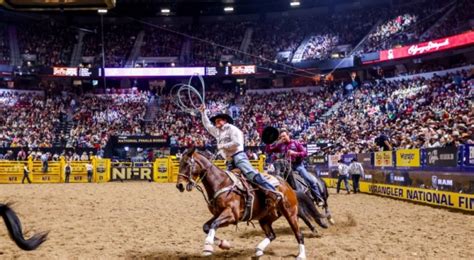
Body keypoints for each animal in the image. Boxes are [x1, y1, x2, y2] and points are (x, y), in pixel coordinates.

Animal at [177, 148, 308, 260]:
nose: (179, 185)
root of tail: (286, 185)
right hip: (265, 219)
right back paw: (258, 250)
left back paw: (301, 255)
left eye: (187, 164)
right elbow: (206, 227)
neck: (221, 182)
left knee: (299, 234)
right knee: (272, 235)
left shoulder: (231, 215)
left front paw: (207, 247)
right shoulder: (218, 214)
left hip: (290, 214)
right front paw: (224, 244)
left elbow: (213, 225)